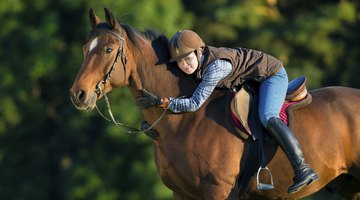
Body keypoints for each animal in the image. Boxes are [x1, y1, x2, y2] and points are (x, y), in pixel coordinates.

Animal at [70, 8, 360, 200]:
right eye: (84, 49)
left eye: (108, 50)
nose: (78, 94)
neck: (185, 122)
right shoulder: (181, 193)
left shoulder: (216, 190)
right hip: (350, 185)